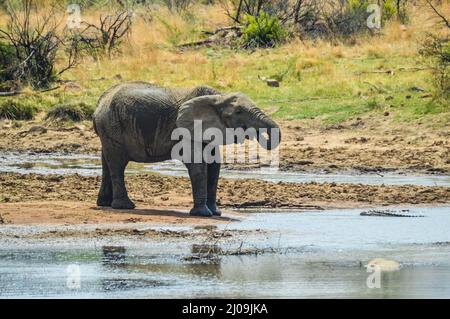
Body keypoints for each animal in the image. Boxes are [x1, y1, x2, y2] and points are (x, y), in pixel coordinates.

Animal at [92, 81, 282, 219]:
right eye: (239, 112)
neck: (218, 97)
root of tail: (99, 104)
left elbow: (214, 166)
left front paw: (215, 213)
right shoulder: (186, 130)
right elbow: (198, 165)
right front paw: (203, 214)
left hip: (108, 129)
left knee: (106, 162)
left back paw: (104, 204)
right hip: (113, 126)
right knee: (117, 164)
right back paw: (124, 206)